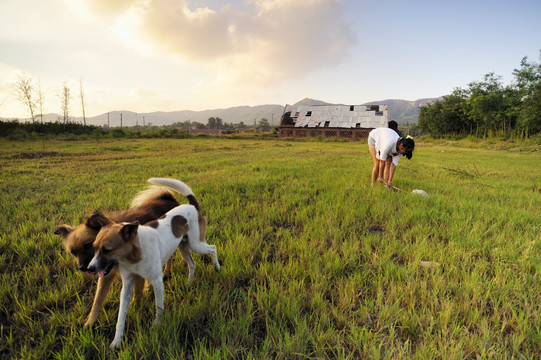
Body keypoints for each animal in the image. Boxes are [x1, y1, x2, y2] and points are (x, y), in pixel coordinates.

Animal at [52, 179, 195, 328]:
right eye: (73, 252)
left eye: (88, 245)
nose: (83, 268)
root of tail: (169, 198)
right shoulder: (106, 275)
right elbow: (97, 300)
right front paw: (89, 323)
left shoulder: (137, 273)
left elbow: (137, 294)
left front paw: (135, 313)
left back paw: (170, 270)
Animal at [86, 180, 219, 348]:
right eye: (94, 247)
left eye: (107, 250)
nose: (89, 268)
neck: (134, 256)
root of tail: (192, 206)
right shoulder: (127, 286)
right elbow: (121, 317)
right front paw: (117, 341)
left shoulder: (157, 280)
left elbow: (159, 306)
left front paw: (157, 325)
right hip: (183, 247)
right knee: (192, 264)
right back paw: (189, 282)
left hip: (196, 245)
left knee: (212, 248)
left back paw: (217, 268)